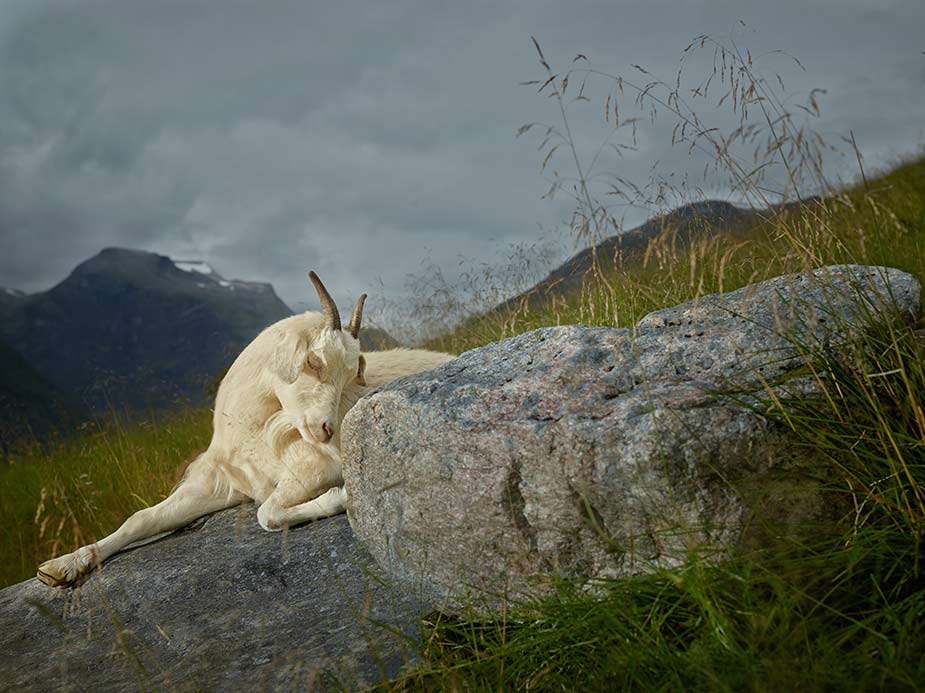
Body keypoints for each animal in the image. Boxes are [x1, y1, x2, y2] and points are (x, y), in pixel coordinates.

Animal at [37, 274, 454, 588]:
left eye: (352, 375)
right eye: (313, 361)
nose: (326, 429)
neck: (252, 434)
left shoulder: (311, 469)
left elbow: (267, 514)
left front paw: (341, 496)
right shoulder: (222, 483)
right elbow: (142, 519)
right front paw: (62, 567)